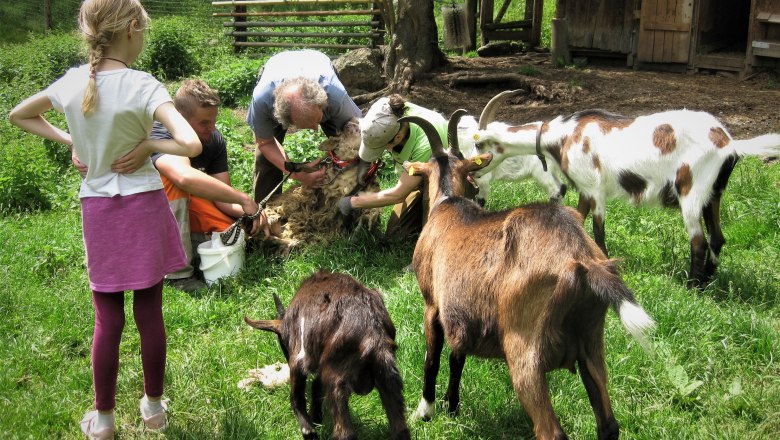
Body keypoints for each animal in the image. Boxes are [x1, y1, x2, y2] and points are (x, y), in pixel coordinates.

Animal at [247, 270, 412, 440]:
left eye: (282, 344)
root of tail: (373, 331)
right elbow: (316, 388)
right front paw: (316, 418)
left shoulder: (299, 359)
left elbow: (297, 397)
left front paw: (309, 429)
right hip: (386, 374)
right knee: (400, 428)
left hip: (336, 378)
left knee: (345, 432)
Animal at [472, 91, 780, 288]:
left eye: (478, 144)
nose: (472, 172)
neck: (563, 136)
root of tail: (729, 142)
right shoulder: (584, 189)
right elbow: (579, 220)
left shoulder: (595, 189)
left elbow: (598, 230)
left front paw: (605, 266)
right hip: (714, 192)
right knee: (717, 237)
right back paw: (707, 282)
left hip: (691, 190)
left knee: (699, 241)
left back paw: (692, 288)